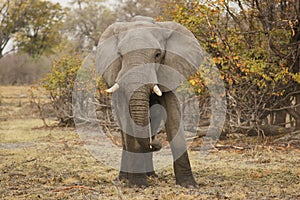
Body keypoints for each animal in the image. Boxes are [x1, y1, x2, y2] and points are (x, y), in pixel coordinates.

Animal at [96, 15, 204, 188]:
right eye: (120, 54)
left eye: (158, 55)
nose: (156, 144)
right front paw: (137, 185)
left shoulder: (169, 71)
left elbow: (173, 116)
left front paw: (189, 185)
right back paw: (124, 178)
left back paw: (151, 174)